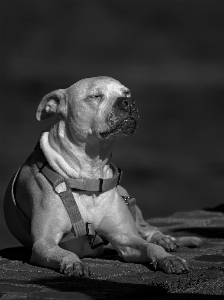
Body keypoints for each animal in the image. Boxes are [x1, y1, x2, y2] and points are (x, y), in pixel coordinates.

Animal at [3, 77, 200, 276]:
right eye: (95, 96)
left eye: (126, 92)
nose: (129, 102)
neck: (89, 175)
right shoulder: (44, 242)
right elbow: (65, 253)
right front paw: (73, 263)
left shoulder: (124, 236)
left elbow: (150, 246)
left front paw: (167, 258)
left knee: (147, 229)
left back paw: (165, 239)